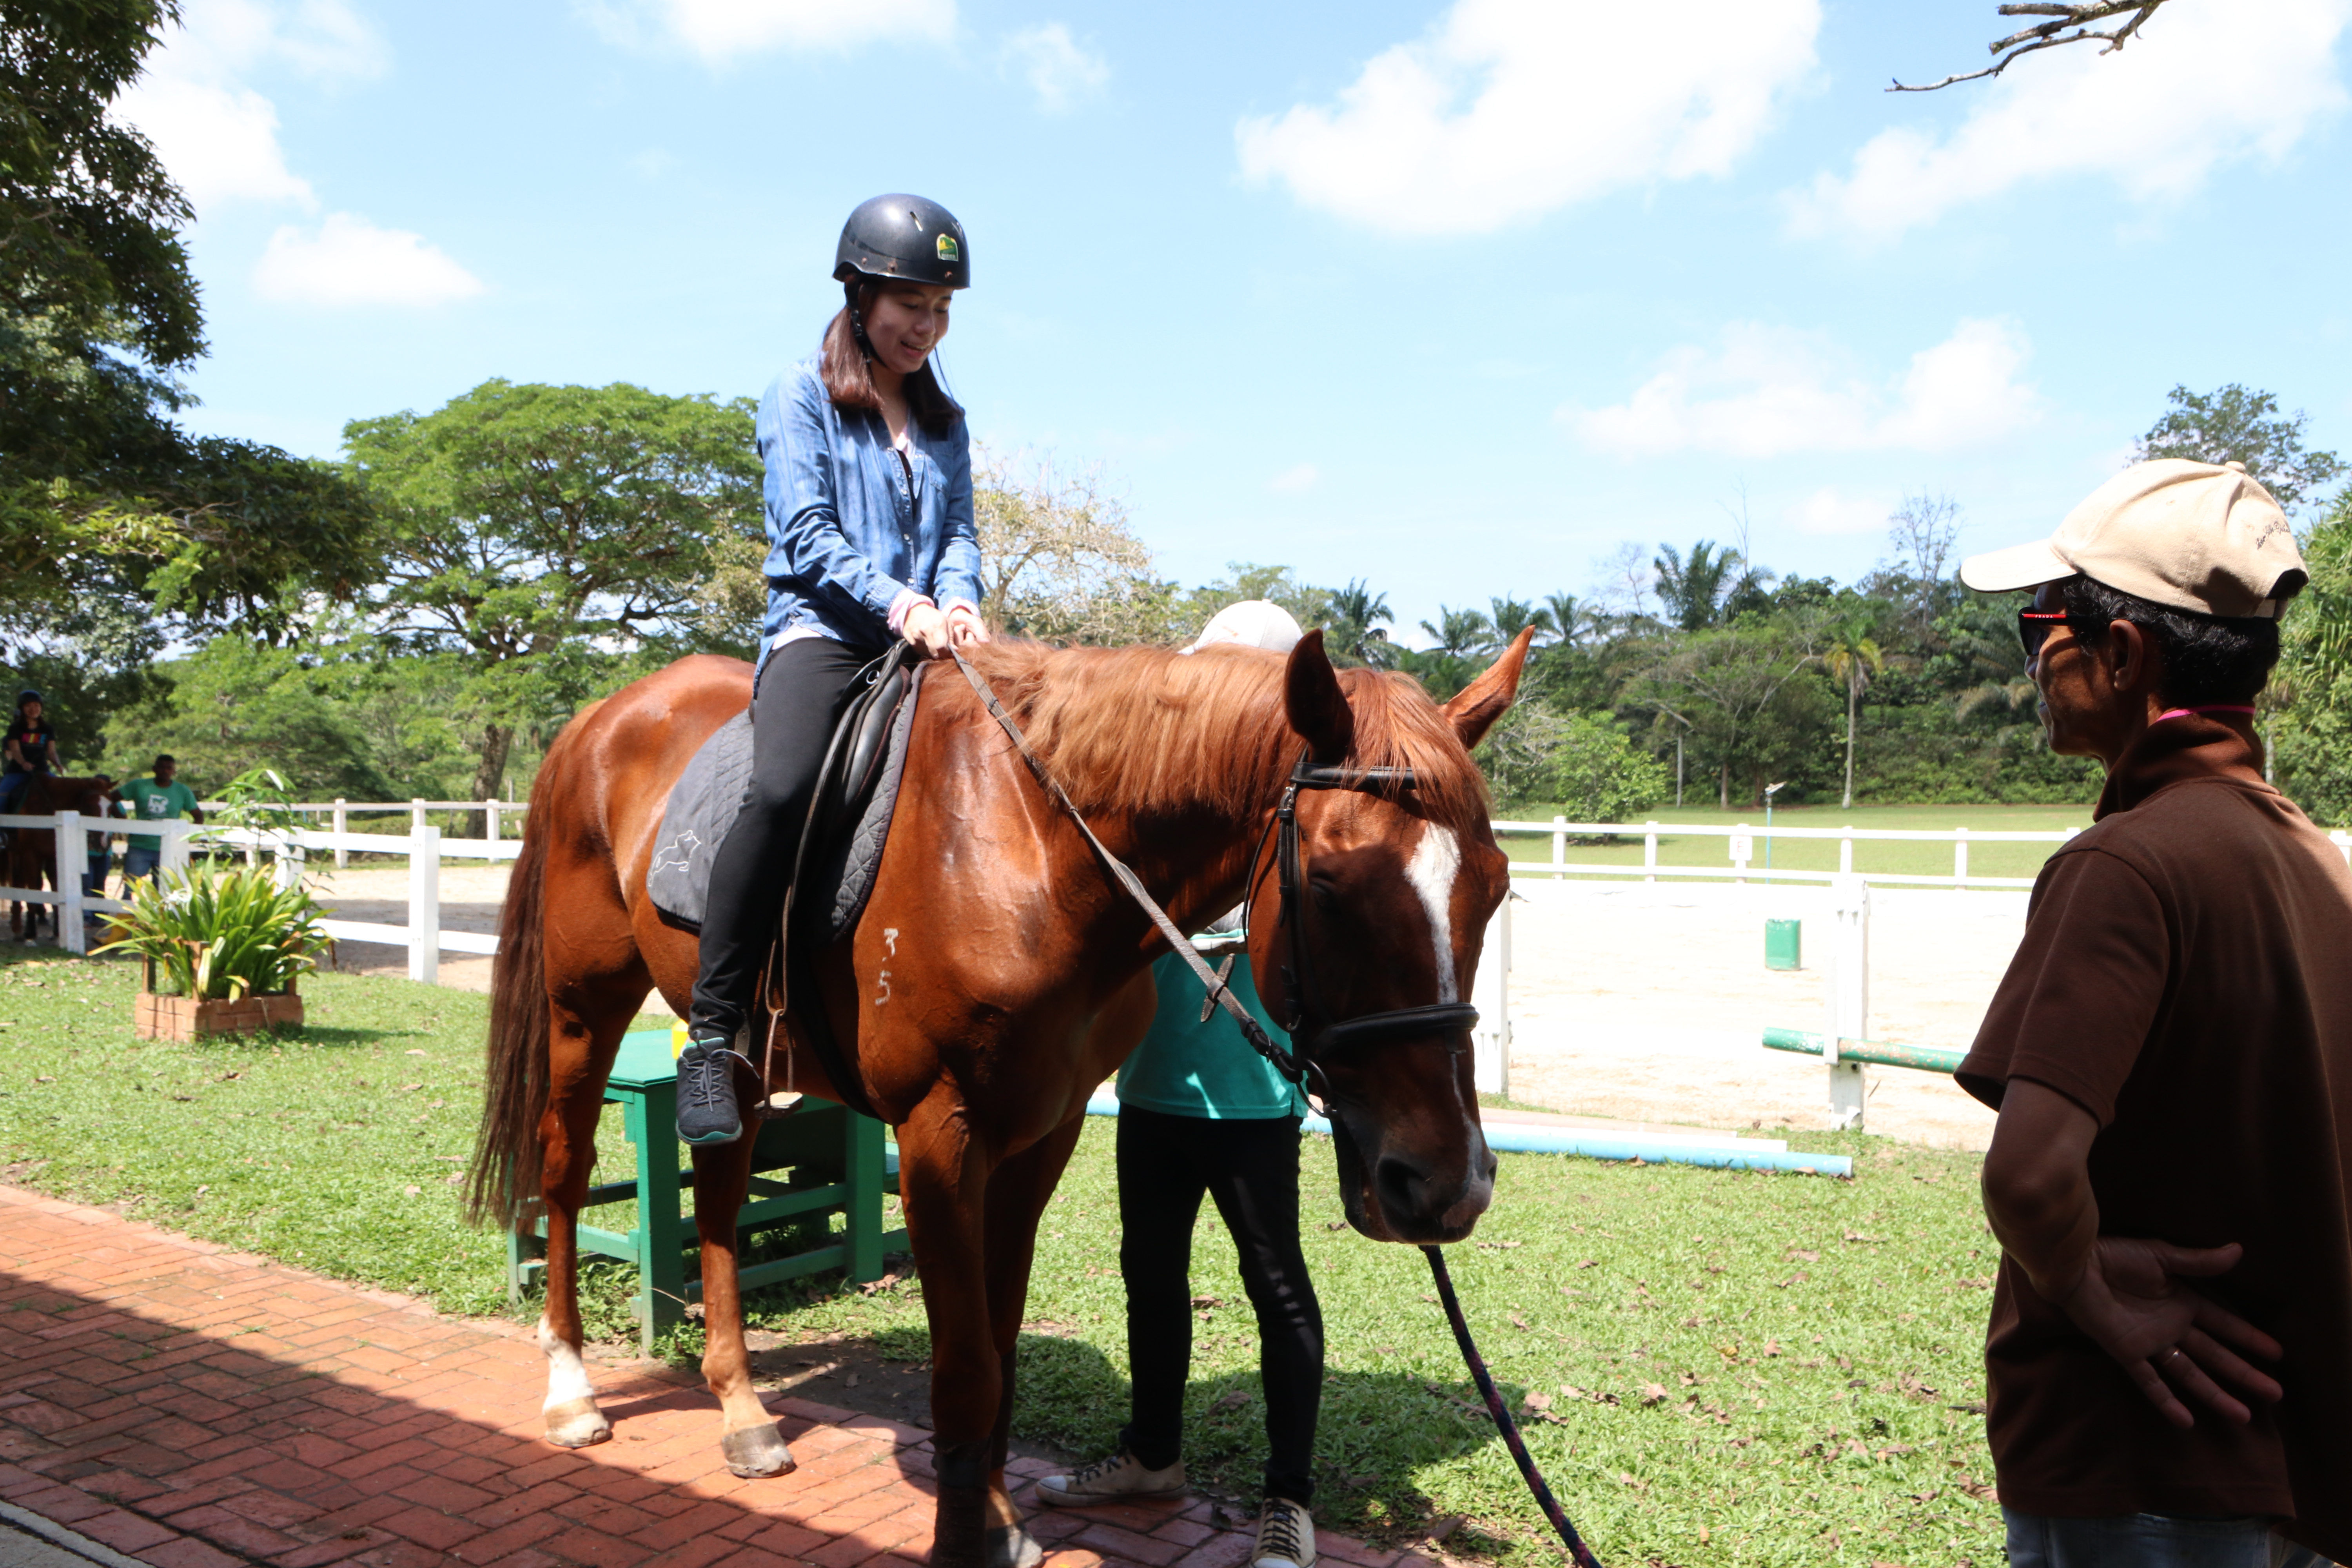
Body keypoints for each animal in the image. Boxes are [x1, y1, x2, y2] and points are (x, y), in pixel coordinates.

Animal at [5, 775, 118, 944]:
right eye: (90, 805)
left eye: (110, 806)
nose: (104, 843)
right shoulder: (31, 854)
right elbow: (33, 890)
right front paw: (31, 932)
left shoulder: (53, 856)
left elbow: (56, 889)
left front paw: (58, 931)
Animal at [468, 627, 1534, 1567]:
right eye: (1330, 885)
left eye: (1495, 885)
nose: (1448, 1184)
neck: (1034, 850)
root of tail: (601, 717)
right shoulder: (940, 1134)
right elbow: (964, 1370)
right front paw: (960, 1537)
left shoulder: (1041, 1133)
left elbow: (1002, 1343)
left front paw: (994, 1516)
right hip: (582, 1006)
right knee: (565, 1169)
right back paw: (571, 1388)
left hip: (735, 1055)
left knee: (723, 1193)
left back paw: (741, 1410)